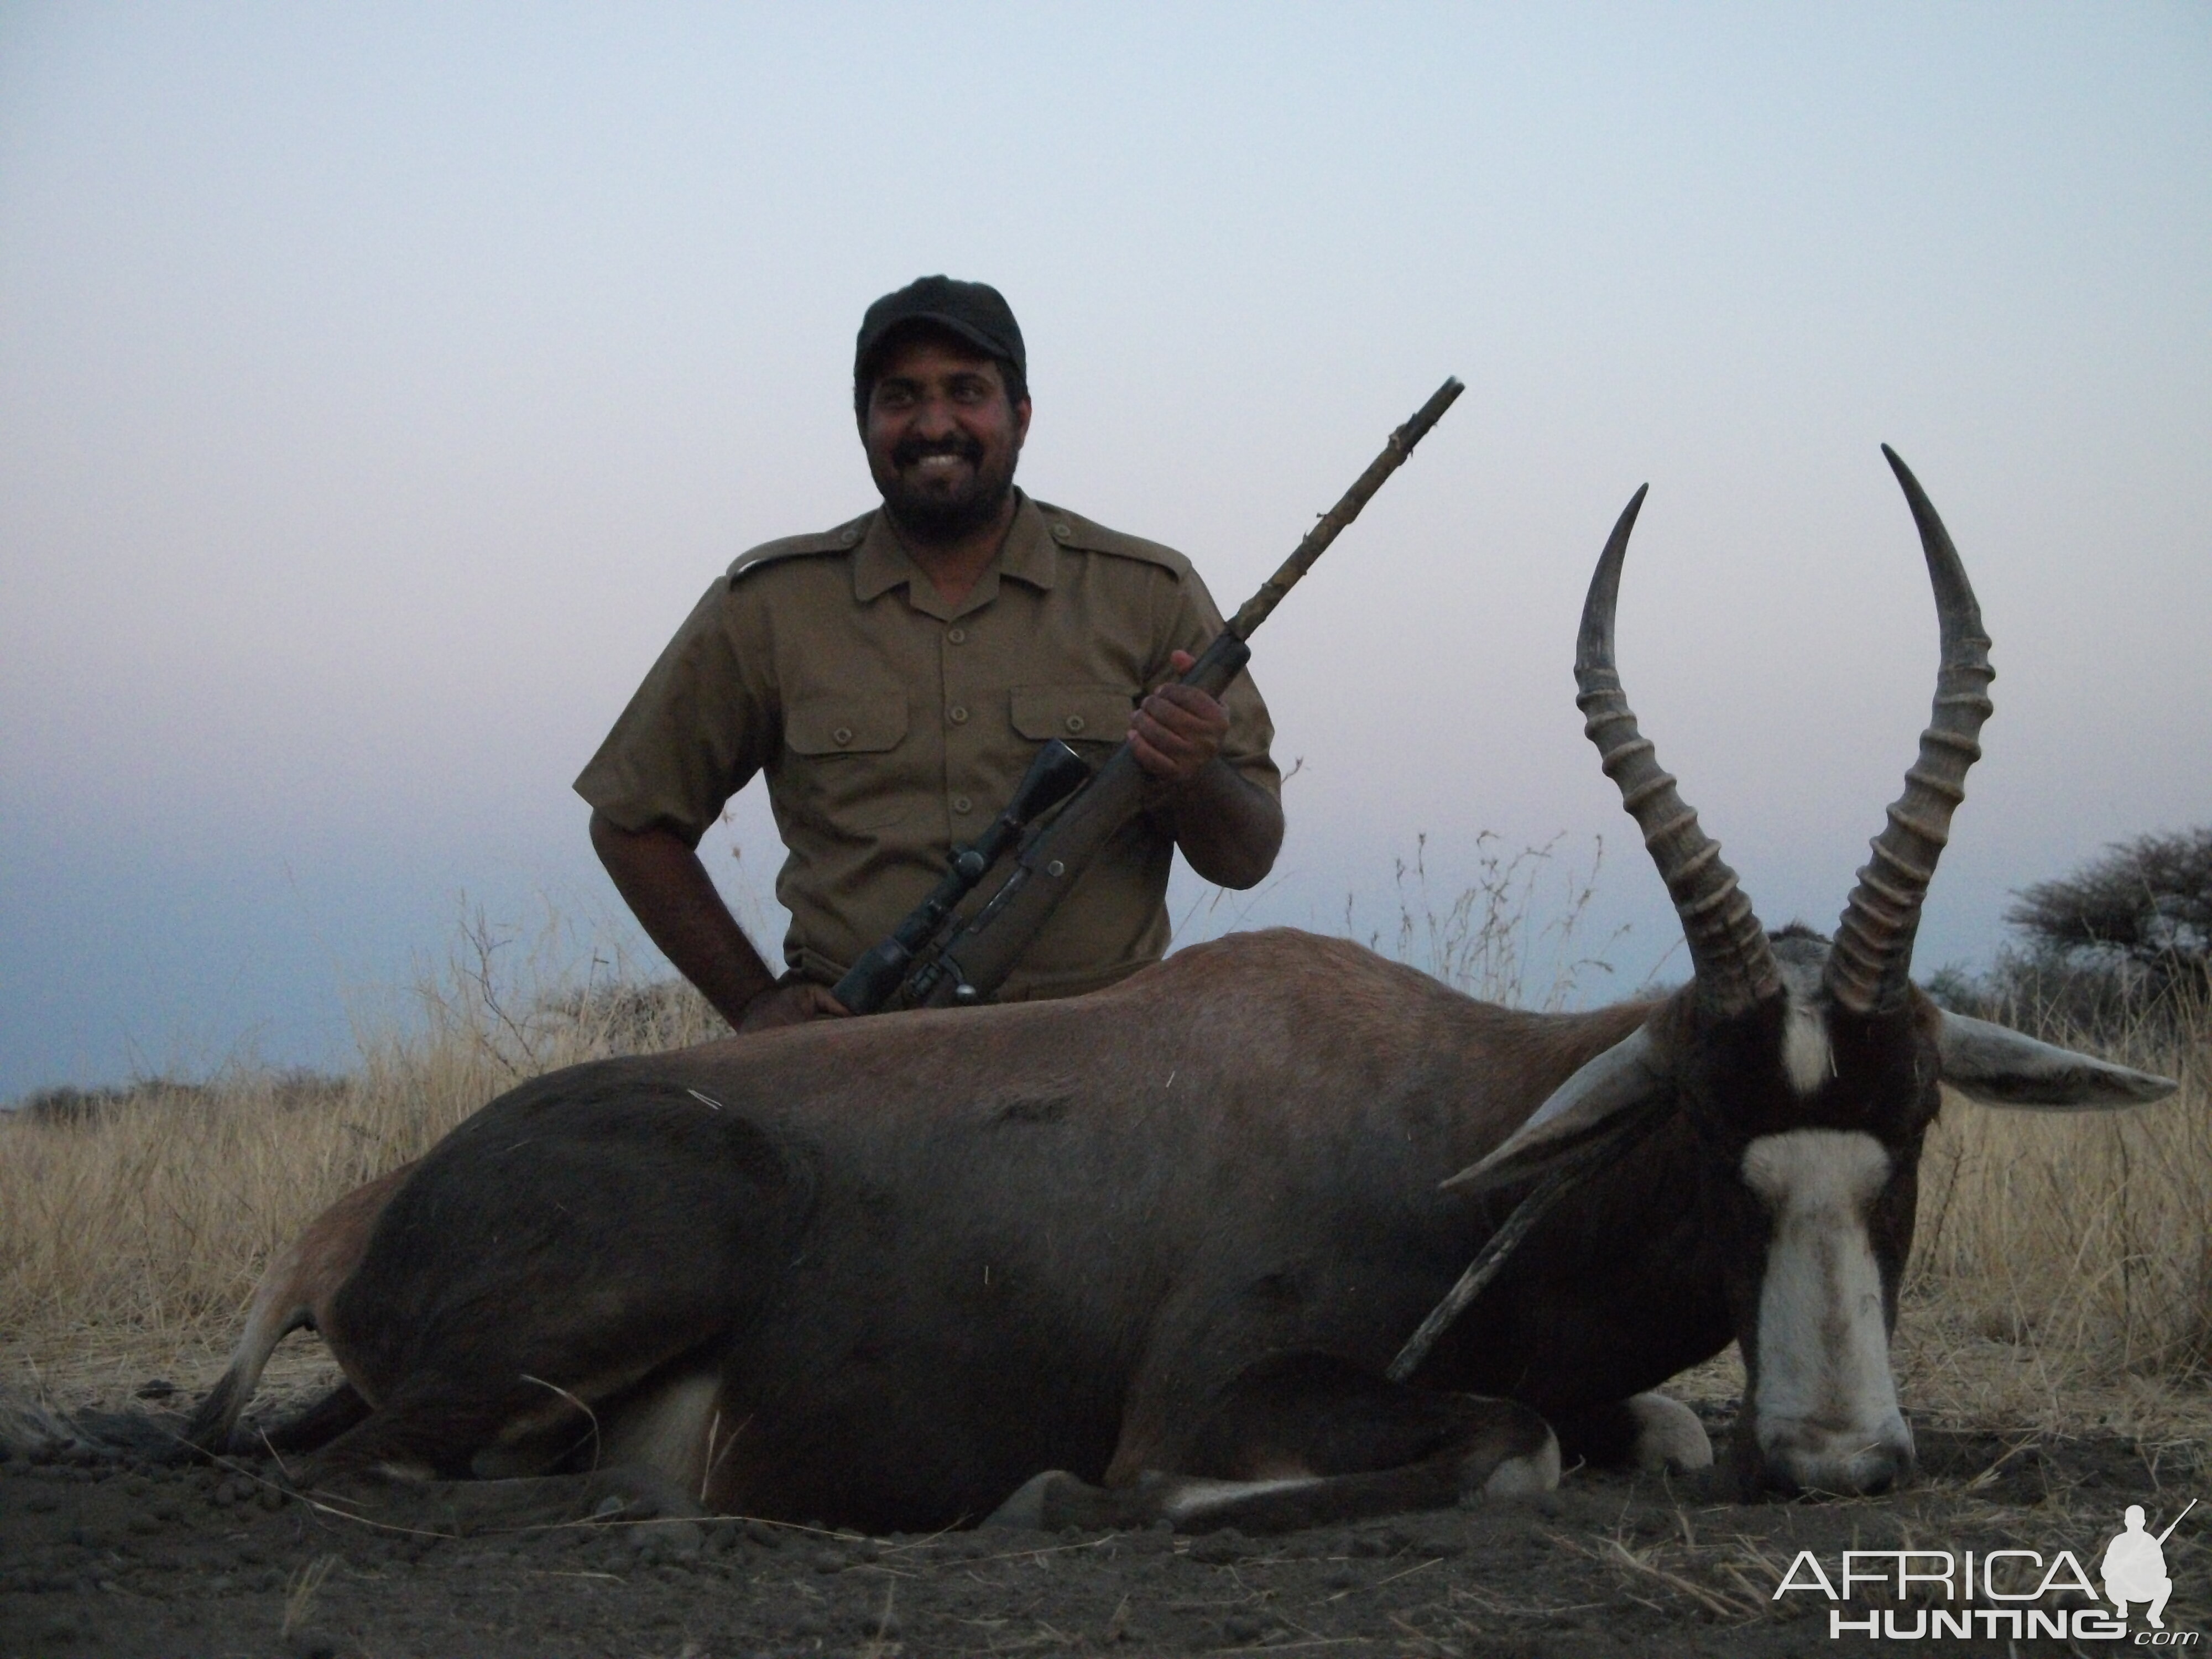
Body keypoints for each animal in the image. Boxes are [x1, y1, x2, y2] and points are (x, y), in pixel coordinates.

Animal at [181, 451, 2168, 1531]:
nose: (1837, 1466)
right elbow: (1506, 1447)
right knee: (355, 1472)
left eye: (1915, 1119)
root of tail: (385, 1211)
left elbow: (1650, 1427)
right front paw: (1059, 1498)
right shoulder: (1221, 1395)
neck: (1444, 1106)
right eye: (1698, 1120)